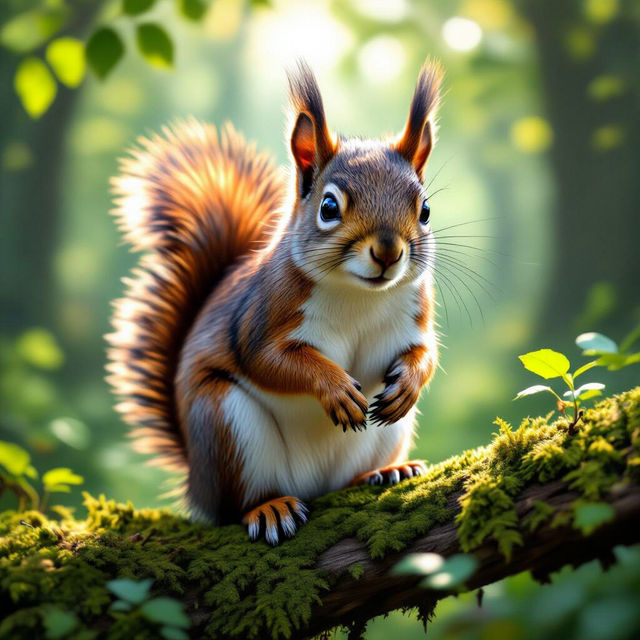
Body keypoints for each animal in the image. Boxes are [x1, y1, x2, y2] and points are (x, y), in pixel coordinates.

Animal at [106, 59, 442, 545]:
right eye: (328, 208)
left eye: (425, 210)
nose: (387, 252)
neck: (359, 295)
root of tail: (197, 482)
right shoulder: (260, 317)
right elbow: (270, 360)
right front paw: (335, 388)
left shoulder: (416, 314)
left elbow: (425, 351)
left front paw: (411, 382)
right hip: (227, 425)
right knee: (239, 503)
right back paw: (269, 508)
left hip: (386, 436)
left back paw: (388, 471)